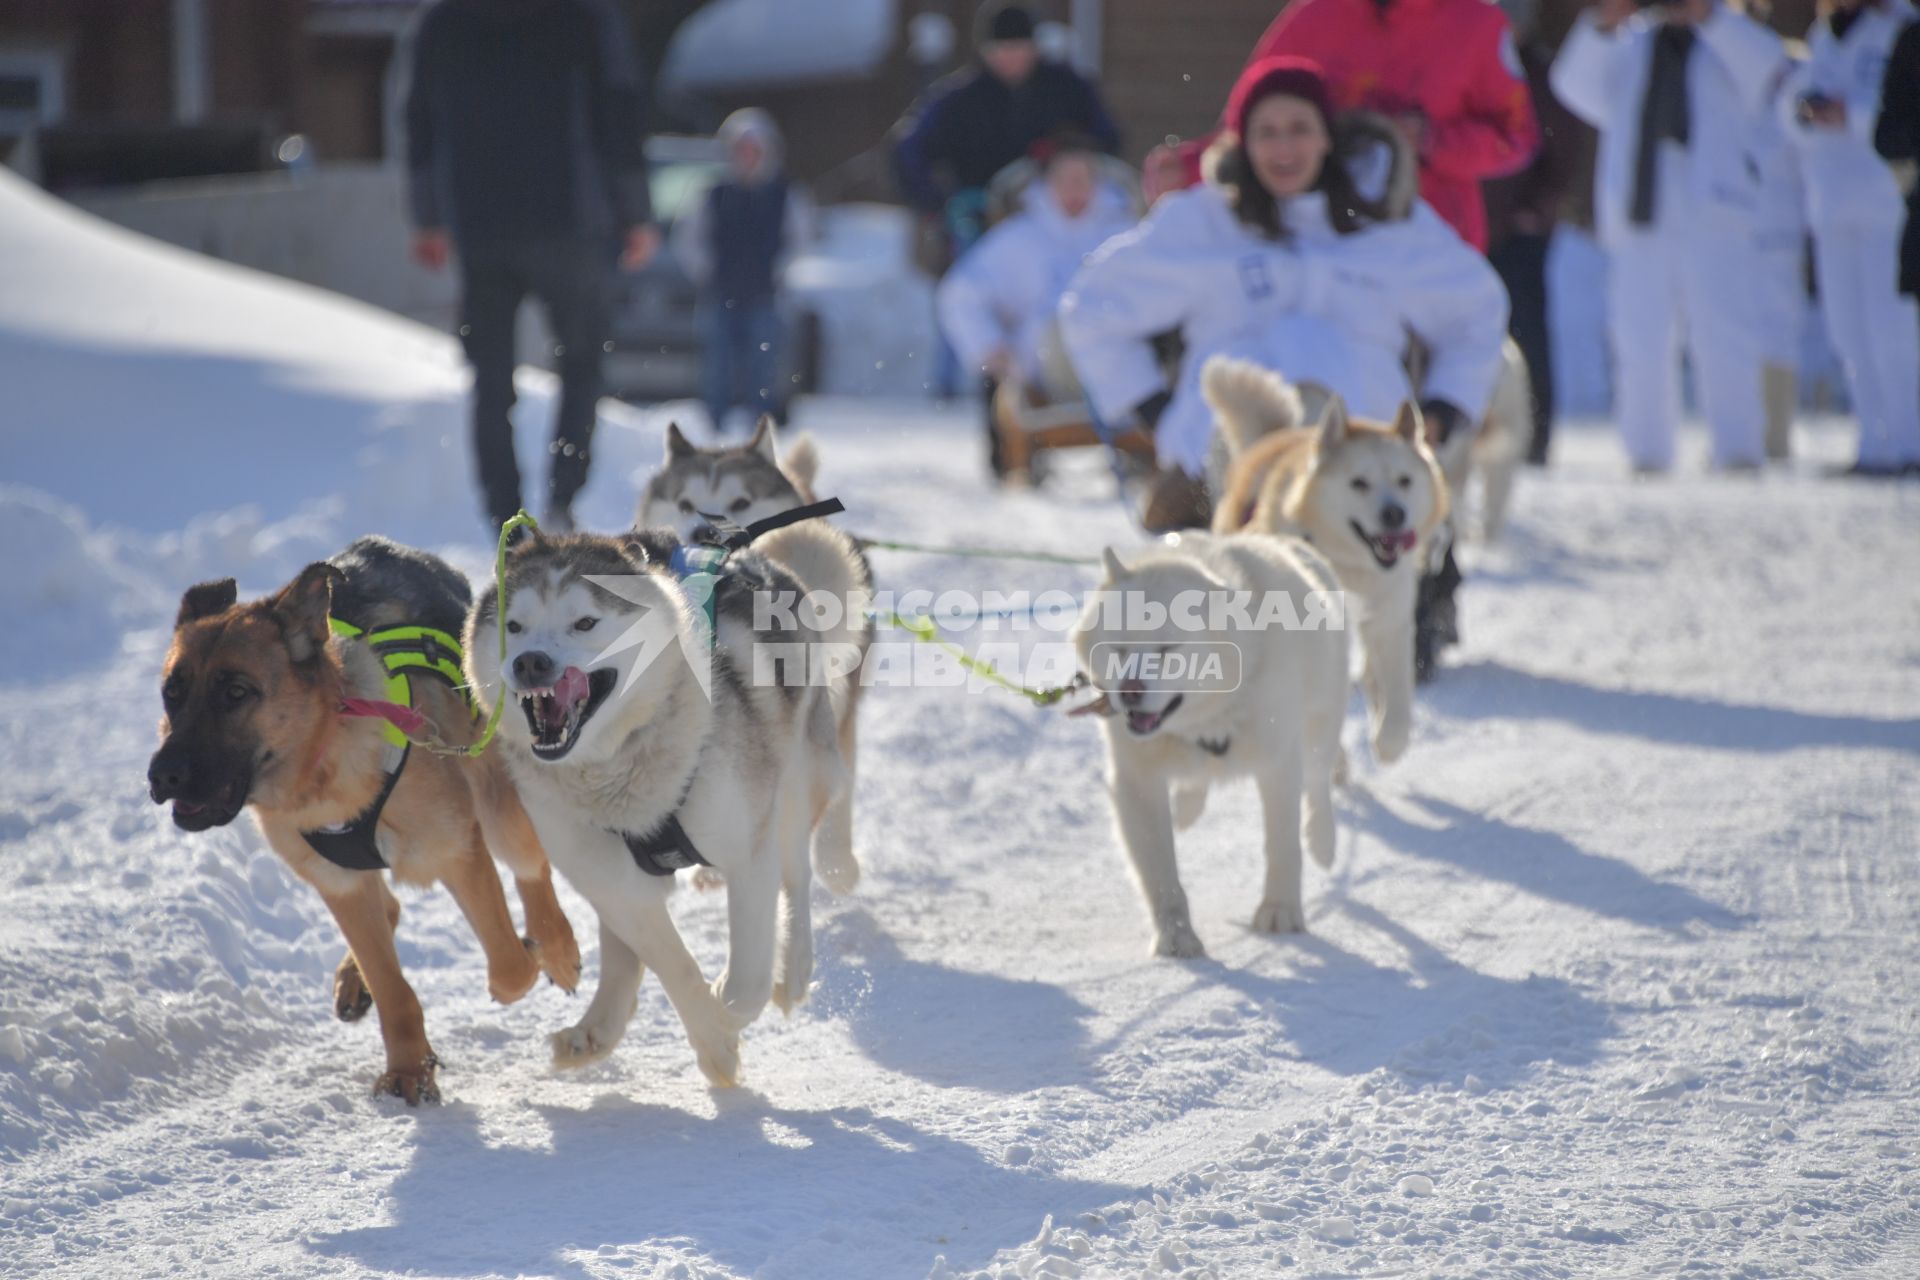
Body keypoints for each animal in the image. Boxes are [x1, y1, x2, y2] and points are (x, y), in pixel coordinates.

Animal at [149, 537, 576, 1105]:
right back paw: (355, 978)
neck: (325, 762)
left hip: (497, 804)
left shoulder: (457, 852)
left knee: (530, 867)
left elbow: (509, 966)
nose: (161, 775)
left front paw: (530, 954)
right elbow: (393, 990)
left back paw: (556, 946)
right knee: (388, 910)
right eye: (172, 692)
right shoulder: (339, 884)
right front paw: (409, 1071)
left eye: (235, 693)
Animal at [468, 518, 875, 1082]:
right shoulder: (615, 882)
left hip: (796, 779)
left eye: (585, 622)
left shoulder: (748, 851)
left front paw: (726, 1013)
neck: (618, 765)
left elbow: (747, 976)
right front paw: (713, 1039)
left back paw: (793, 968)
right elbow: (670, 961)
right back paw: (597, 1026)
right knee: (622, 950)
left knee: (796, 872)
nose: (530, 663)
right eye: (516, 626)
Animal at [1067, 529, 1351, 959]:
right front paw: (1176, 934)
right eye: (1119, 648)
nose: (1129, 691)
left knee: (1317, 785)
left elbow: (1283, 844)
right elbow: (1161, 872)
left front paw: (1280, 909)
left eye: (1167, 650)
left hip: (1320, 728)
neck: (1207, 720)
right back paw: (1187, 806)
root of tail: (1287, 541)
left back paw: (1323, 839)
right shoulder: (1137, 783)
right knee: (1196, 784)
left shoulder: (1278, 765)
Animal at [1205, 355, 1443, 767]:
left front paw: (1389, 740)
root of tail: (1275, 438)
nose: (1394, 514)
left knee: (1368, 678)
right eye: (1359, 483)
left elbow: (1397, 697)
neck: (1350, 567)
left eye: (1404, 480)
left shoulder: (1391, 623)